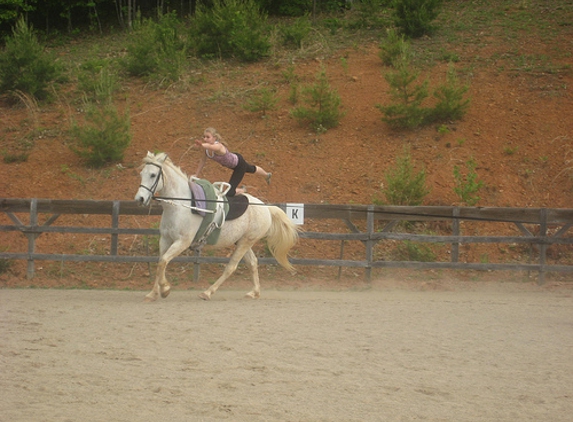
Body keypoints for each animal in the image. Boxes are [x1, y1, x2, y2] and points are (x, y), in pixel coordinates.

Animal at [132, 151, 298, 300]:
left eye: (153, 175)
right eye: (141, 174)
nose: (140, 199)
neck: (182, 205)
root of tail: (266, 208)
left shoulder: (182, 242)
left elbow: (163, 261)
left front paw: (165, 289)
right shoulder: (165, 239)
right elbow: (160, 262)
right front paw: (153, 293)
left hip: (246, 242)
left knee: (231, 267)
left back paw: (208, 292)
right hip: (242, 241)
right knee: (252, 263)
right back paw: (254, 293)